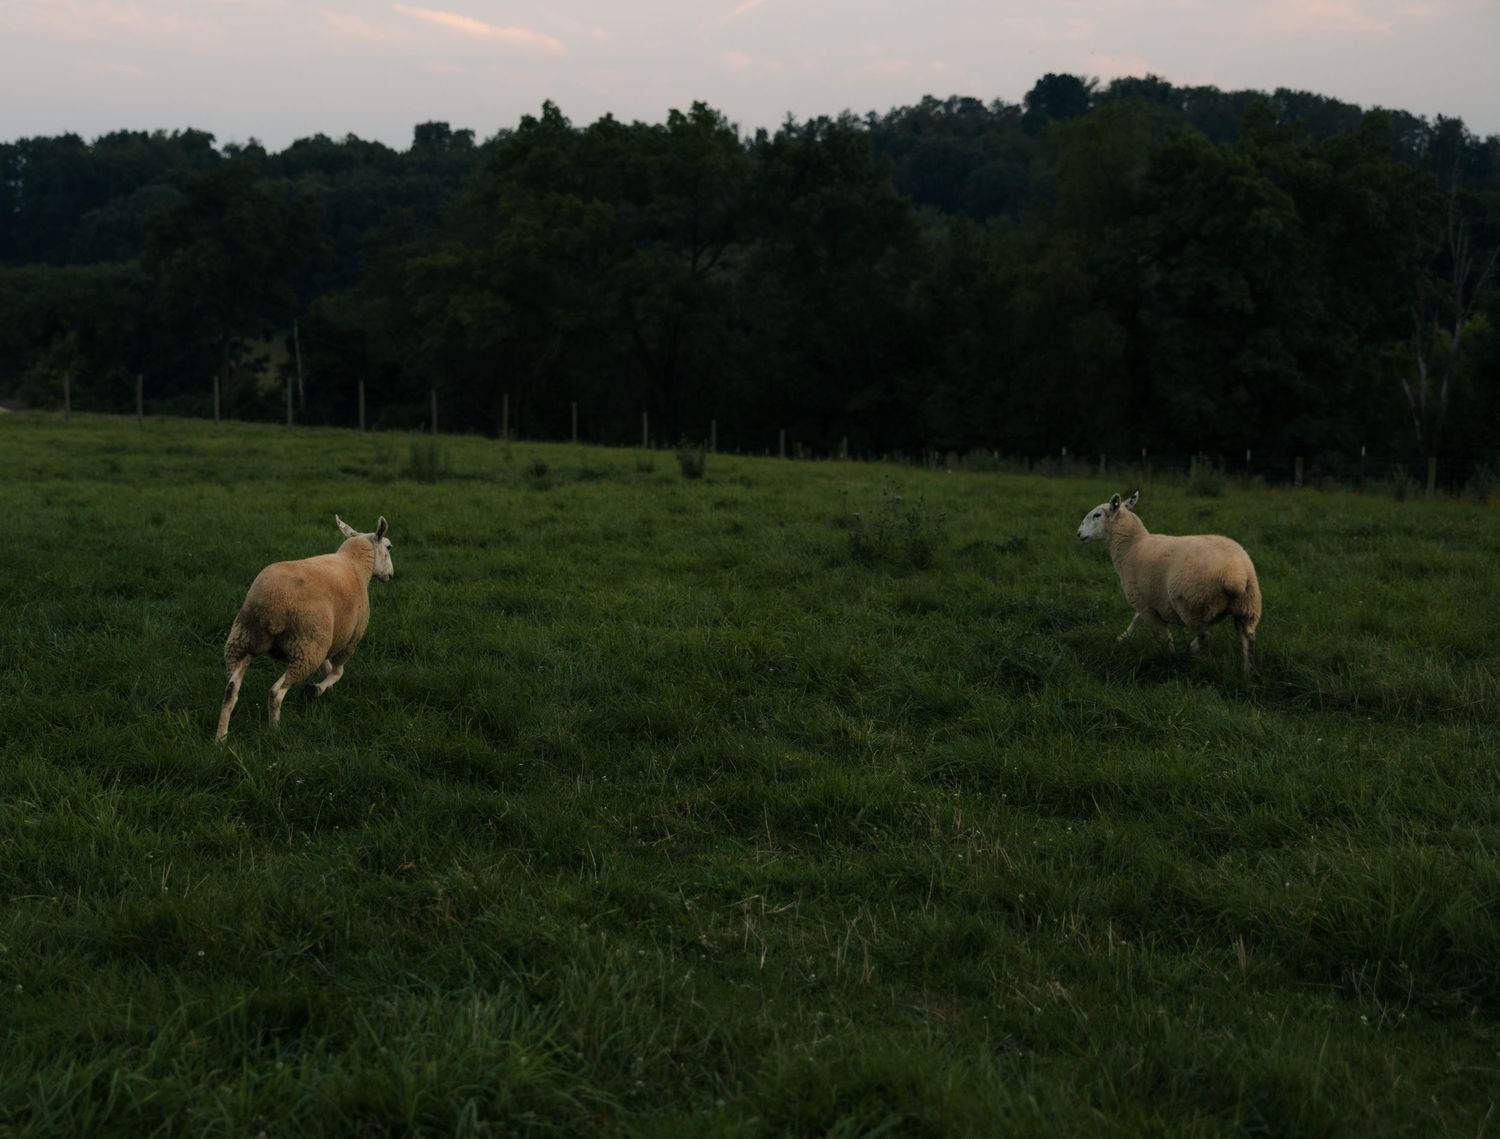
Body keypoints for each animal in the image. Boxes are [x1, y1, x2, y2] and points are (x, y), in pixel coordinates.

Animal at [216, 515, 393, 741]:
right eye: (389, 547)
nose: (391, 575)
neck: (354, 564)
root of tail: (273, 607)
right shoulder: (349, 641)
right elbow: (338, 672)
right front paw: (317, 689)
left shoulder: (327, 639)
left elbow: (327, 667)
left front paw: (326, 688)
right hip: (306, 648)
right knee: (276, 692)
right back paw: (275, 730)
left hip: (242, 639)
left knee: (230, 691)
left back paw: (220, 738)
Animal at [1077, 491, 1260, 672]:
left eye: (1097, 515)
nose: (1079, 533)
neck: (1132, 546)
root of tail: (1235, 574)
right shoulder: (1147, 599)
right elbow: (1136, 620)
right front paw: (1122, 638)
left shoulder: (1143, 602)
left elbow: (1165, 634)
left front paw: (1171, 657)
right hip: (1248, 606)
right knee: (1248, 638)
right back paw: (1247, 671)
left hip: (1193, 605)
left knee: (1204, 636)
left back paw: (1192, 649)